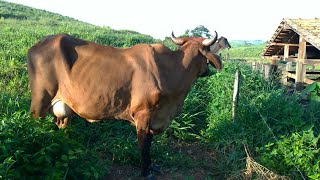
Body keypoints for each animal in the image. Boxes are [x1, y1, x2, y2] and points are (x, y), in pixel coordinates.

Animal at [26, 32, 222, 179]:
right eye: (208, 50)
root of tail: (37, 45)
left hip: (63, 109)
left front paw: (152, 167)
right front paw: (145, 171)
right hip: (39, 102)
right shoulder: (143, 114)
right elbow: (144, 145)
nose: (207, 71)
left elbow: (150, 143)